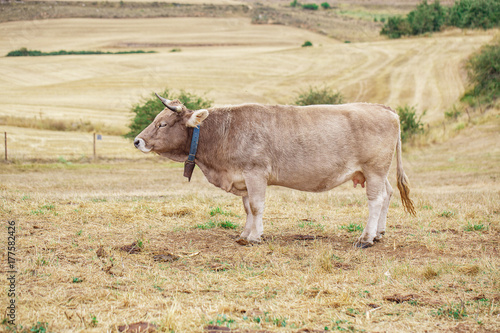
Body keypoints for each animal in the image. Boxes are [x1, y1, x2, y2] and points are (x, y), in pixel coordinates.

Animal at [132, 93, 414, 246]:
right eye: (156, 120)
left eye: (162, 124)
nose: (137, 141)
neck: (223, 132)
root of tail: (384, 108)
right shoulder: (243, 178)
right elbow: (247, 208)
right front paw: (245, 234)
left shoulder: (255, 173)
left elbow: (257, 206)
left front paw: (255, 237)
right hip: (375, 173)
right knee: (388, 194)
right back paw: (379, 233)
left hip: (374, 169)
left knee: (375, 200)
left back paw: (366, 238)